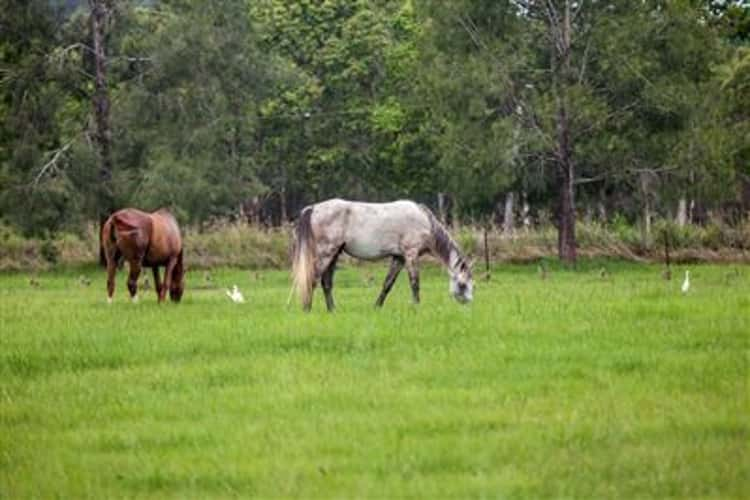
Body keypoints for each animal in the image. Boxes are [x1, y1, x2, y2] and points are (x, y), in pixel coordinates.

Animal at [290, 198, 472, 308]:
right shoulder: (411, 254)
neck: (424, 222)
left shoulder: (399, 258)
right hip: (325, 253)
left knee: (326, 284)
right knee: (312, 280)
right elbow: (415, 283)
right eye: (462, 285)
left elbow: (387, 284)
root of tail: (313, 208)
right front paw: (416, 307)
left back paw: (332, 310)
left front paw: (377, 306)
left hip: (333, 254)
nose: (468, 304)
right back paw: (307, 309)